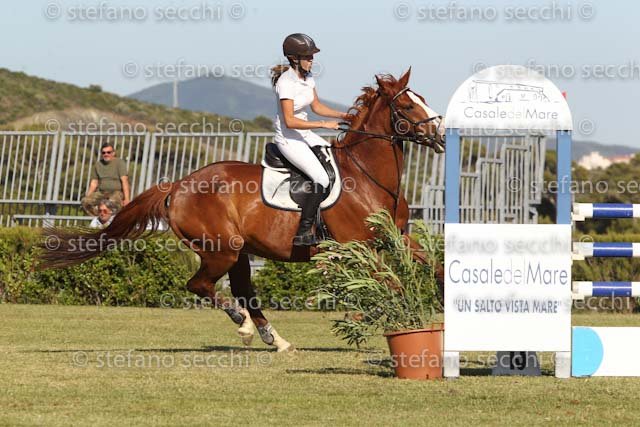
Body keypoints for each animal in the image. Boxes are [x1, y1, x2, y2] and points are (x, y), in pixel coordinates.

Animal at [39, 68, 446, 352]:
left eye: (423, 98)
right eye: (407, 105)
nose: (441, 135)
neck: (367, 177)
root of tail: (179, 185)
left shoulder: (399, 240)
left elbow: (435, 268)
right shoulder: (356, 248)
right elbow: (392, 285)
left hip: (239, 251)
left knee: (242, 289)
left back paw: (275, 339)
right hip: (221, 249)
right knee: (202, 285)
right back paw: (245, 324)